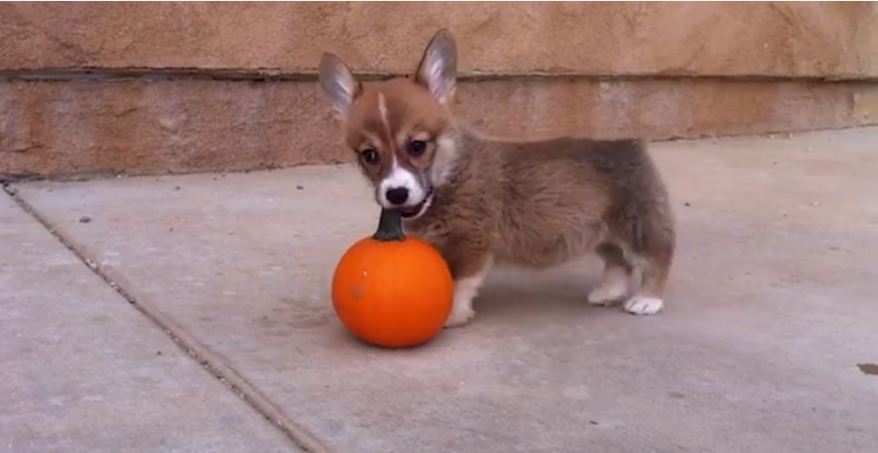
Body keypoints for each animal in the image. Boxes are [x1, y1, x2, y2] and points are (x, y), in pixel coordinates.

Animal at [320, 30, 676, 326]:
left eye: (417, 145)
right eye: (369, 155)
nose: (396, 194)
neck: (451, 175)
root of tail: (630, 143)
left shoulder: (472, 242)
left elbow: (458, 282)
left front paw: (450, 315)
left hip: (636, 224)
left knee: (656, 257)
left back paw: (647, 300)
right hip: (597, 231)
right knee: (618, 261)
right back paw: (608, 292)